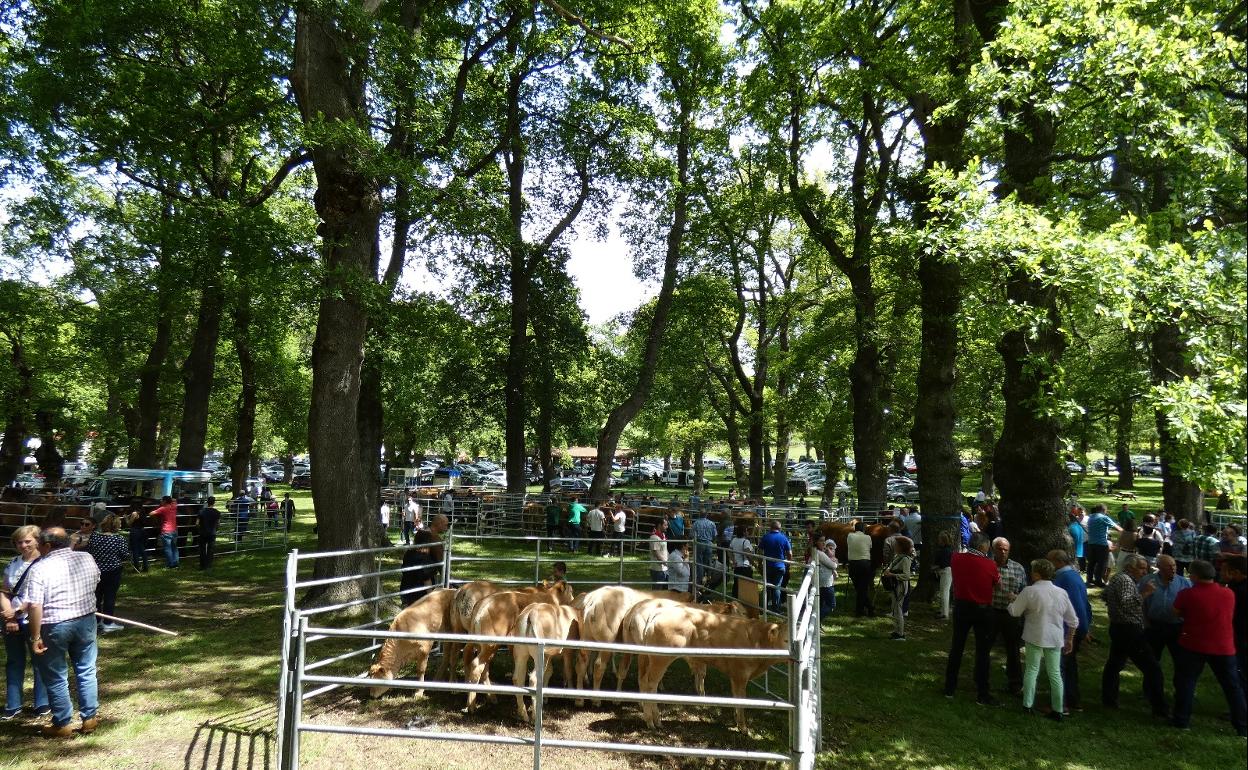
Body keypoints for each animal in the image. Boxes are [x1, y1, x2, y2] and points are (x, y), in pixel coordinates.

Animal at [464, 579, 574, 713]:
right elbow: (549, 670)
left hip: (481, 645)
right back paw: (472, 706)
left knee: (480, 665)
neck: (552, 597)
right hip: (490, 645)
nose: (573, 599)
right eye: (571, 591)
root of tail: (483, 604)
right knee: (477, 666)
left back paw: (490, 698)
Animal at [619, 596, 783, 728]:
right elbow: (702, 673)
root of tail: (634, 611)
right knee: (643, 678)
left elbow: (699, 673)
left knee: (627, 673)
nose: (749, 619)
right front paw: (702, 696)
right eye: (742, 612)